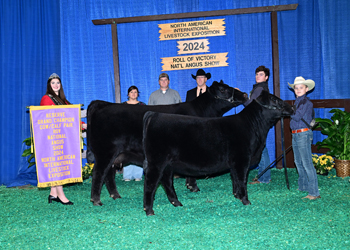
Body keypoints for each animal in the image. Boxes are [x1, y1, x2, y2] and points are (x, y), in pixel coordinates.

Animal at [87, 81, 246, 206]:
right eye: (223, 89)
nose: (244, 94)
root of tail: (102, 104)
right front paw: (193, 186)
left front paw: (190, 186)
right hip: (105, 151)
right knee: (99, 173)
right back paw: (96, 200)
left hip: (115, 154)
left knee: (108, 174)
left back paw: (115, 195)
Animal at [142, 91, 296, 216]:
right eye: (274, 99)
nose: (292, 108)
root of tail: (154, 115)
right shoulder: (242, 159)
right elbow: (242, 180)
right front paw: (246, 201)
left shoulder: (235, 163)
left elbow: (235, 179)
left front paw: (237, 196)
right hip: (157, 162)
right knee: (150, 183)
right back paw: (149, 210)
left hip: (168, 164)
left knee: (167, 182)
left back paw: (177, 203)